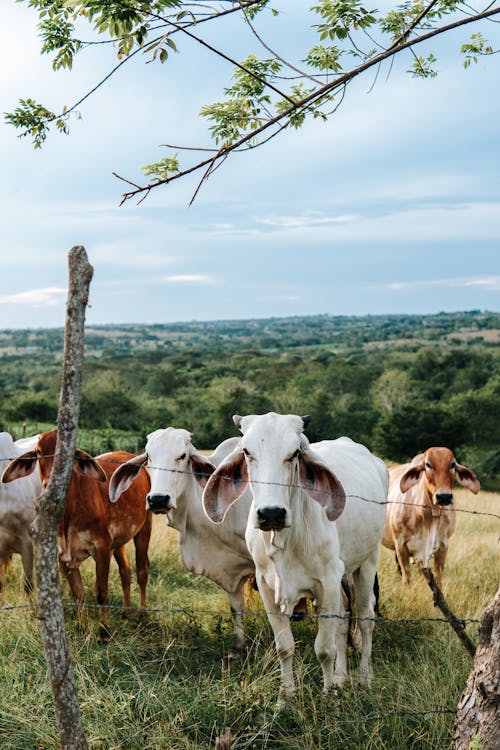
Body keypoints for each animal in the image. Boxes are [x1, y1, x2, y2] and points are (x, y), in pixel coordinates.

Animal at [108, 428, 254, 656]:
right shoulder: (230, 569)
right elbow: (236, 606)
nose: (158, 499)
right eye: (149, 456)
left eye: (182, 456)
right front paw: (238, 646)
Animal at [203, 414, 386, 704]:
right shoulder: (267, 586)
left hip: (368, 561)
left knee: (365, 618)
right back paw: (341, 677)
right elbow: (285, 647)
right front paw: (285, 696)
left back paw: (363, 677)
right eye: (247, 452)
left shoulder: (327, 581)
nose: (271, 513)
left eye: (294, 454)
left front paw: (326, 695)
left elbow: (324, 648)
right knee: (344, 621)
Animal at [382, 446, 480, 588]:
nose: (444, 496)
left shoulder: (443, 546)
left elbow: (438, 577)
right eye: (428, 464)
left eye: (453, 464)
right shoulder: (401, 546)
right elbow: (407, 578)